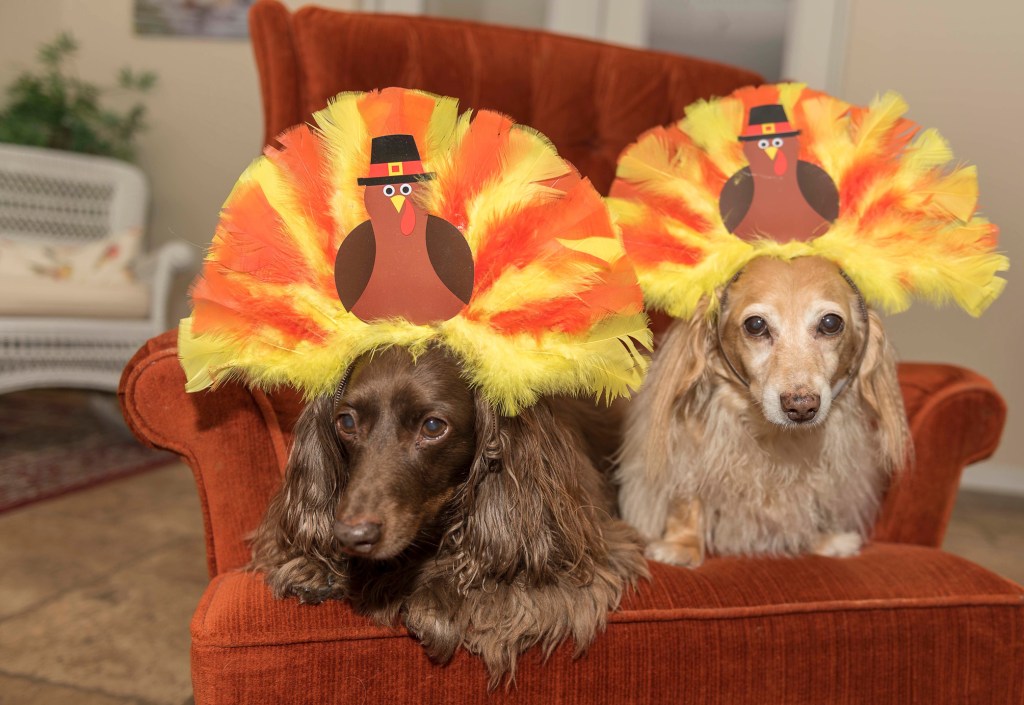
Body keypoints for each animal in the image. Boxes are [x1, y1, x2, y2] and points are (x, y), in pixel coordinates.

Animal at [250, 346, 643, 684]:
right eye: (346, 422)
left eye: (433, 426)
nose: (350, 536)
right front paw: (314, 566)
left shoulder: (589, 558)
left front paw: (436, 601)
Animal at [618, 257, 909, 565]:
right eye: (756, 325)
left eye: (831, 323)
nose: (801, 406)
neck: (773, 435)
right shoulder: (690, 455)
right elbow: (688, 500)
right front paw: (681, 546)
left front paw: (824, 540)